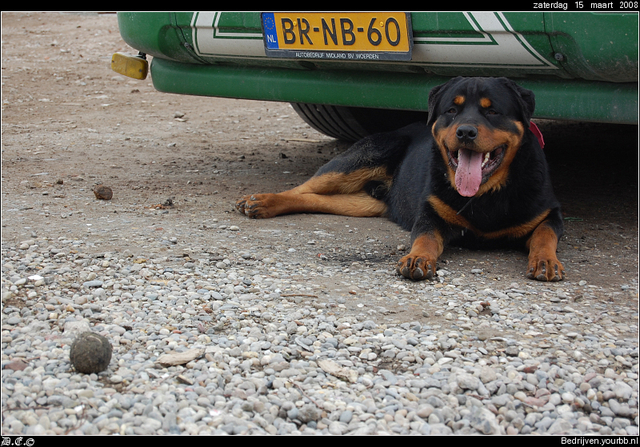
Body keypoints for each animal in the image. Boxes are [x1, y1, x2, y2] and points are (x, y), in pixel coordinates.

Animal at [236, 76, 564, 280]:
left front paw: (545, 261)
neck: (486, 194)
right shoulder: (430, 214)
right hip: (362, 157)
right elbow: (425, 238)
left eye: (492, 111)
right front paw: (418, 258)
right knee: (304, 188)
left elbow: (544, 235)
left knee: (315, 199)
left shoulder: (550, 215)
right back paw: (261, 200)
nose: (465, 131)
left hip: (364, 202)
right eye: (452, 110)